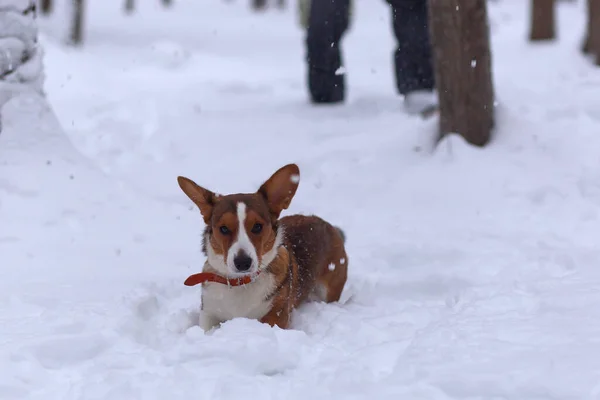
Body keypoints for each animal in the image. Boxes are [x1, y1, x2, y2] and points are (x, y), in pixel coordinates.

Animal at [177, 163, 346, 332]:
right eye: (224, 229)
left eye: (257, 226)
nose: (243, 263)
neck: (240, 283)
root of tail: (330, 226)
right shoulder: (209, 313)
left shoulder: (276, 316)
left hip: (328, 289)